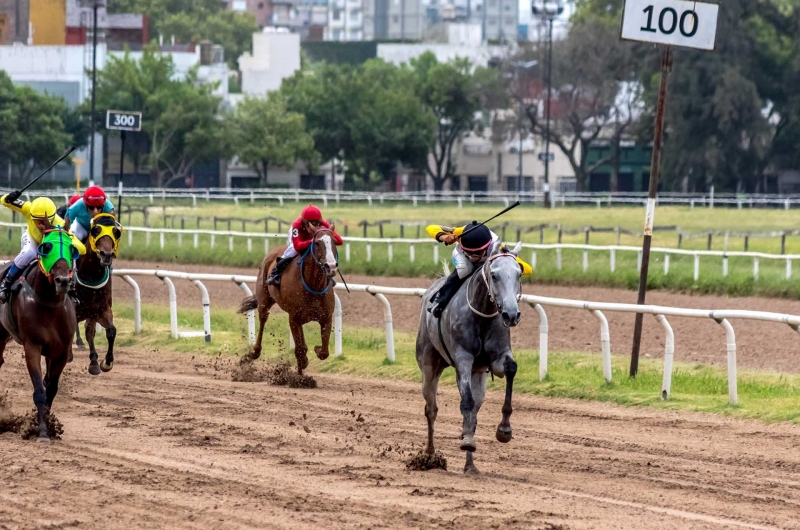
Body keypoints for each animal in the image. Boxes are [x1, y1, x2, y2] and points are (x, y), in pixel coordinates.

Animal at [75, 212, 121, 374]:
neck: (90, 276)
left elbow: (110, 331)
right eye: (96, 230)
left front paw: (105, 362)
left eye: (116, 232)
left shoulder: (100, 309)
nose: (106, 255)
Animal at [238, 225, 338, 374]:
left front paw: (316, 349)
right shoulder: (294, 318)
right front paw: (302, 368)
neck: (313, 286)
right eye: (317, 243)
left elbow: (324, 352)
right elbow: (300, 350)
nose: (330, 266)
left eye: (334, 242)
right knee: (263, 319)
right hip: (264, 300)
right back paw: (254, 352)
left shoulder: (326, 317)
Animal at [416, 241, 520, 472]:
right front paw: (468, 440)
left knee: (475, 409)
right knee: (431, 408)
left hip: (478, 374)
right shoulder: (462, 357)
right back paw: (430, 455)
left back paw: (469, 462)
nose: (511, 314)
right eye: (494, 275)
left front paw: (504, 430)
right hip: (428, 365)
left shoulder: (497, 358)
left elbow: (510, 368)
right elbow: (466, 401)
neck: (482, 312)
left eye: (519, 273)